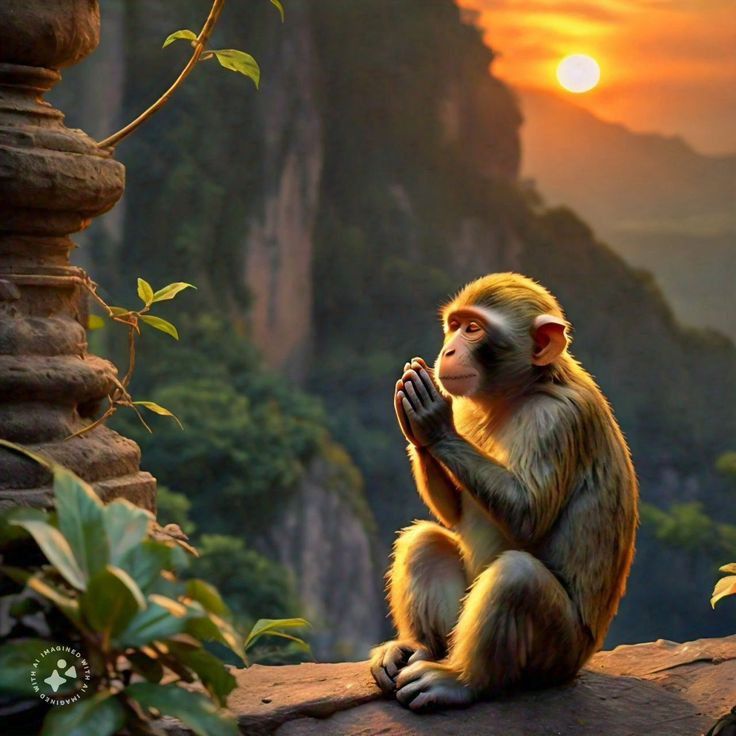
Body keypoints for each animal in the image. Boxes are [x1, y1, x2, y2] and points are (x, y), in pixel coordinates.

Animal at [370, 272, 638, 711]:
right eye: (455, 325)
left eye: (473, 329)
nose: (448, 349)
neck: (522, 391)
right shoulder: (468, 406)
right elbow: (453, 513)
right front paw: (418, 429)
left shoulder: (555, 421)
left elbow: (528, 516)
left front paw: (431, 423)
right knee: (424, 542)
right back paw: (420, 648)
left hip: (559, 654)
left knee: (518, 577)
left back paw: (460, 681)